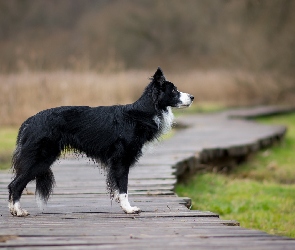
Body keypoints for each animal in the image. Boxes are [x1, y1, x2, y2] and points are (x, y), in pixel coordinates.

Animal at [8, 67, 194, 216]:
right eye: (174, 91)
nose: (192, 96)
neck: (143, 112)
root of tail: (29, 121)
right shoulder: (121, 159)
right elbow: (123, 187)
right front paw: (129, 209)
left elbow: (118, 187)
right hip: (41, 158)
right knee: (15, 184)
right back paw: (18, 211)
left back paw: (13, 210)